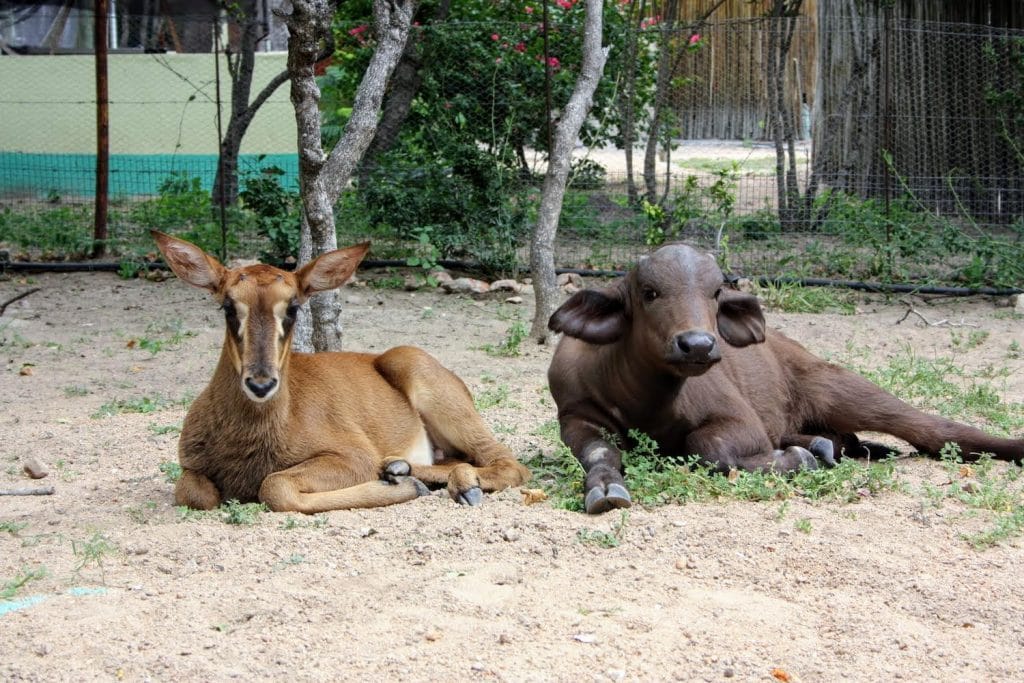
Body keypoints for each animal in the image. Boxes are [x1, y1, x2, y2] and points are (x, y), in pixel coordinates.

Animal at [153, 231, 536, 511]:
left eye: (293, 307)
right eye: (229, 307)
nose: (260, 384)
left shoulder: (352, 455)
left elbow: (275, 486)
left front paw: (406, 487)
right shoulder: (191, 467)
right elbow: (196, 494)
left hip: (430, 385)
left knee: (510, 463)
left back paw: (454, 484)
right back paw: (402, 469)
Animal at [552, 244, 1024, 511]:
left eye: (715, 292)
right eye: (649, 293)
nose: (698, 345)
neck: (644, 399)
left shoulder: (738, 420)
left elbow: (709, 448)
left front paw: (793, 460)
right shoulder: (575, 416)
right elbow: (600, 453)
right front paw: (605, 489)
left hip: (841, 387)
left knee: (930, 429)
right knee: (841, 438)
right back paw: (822, 445)